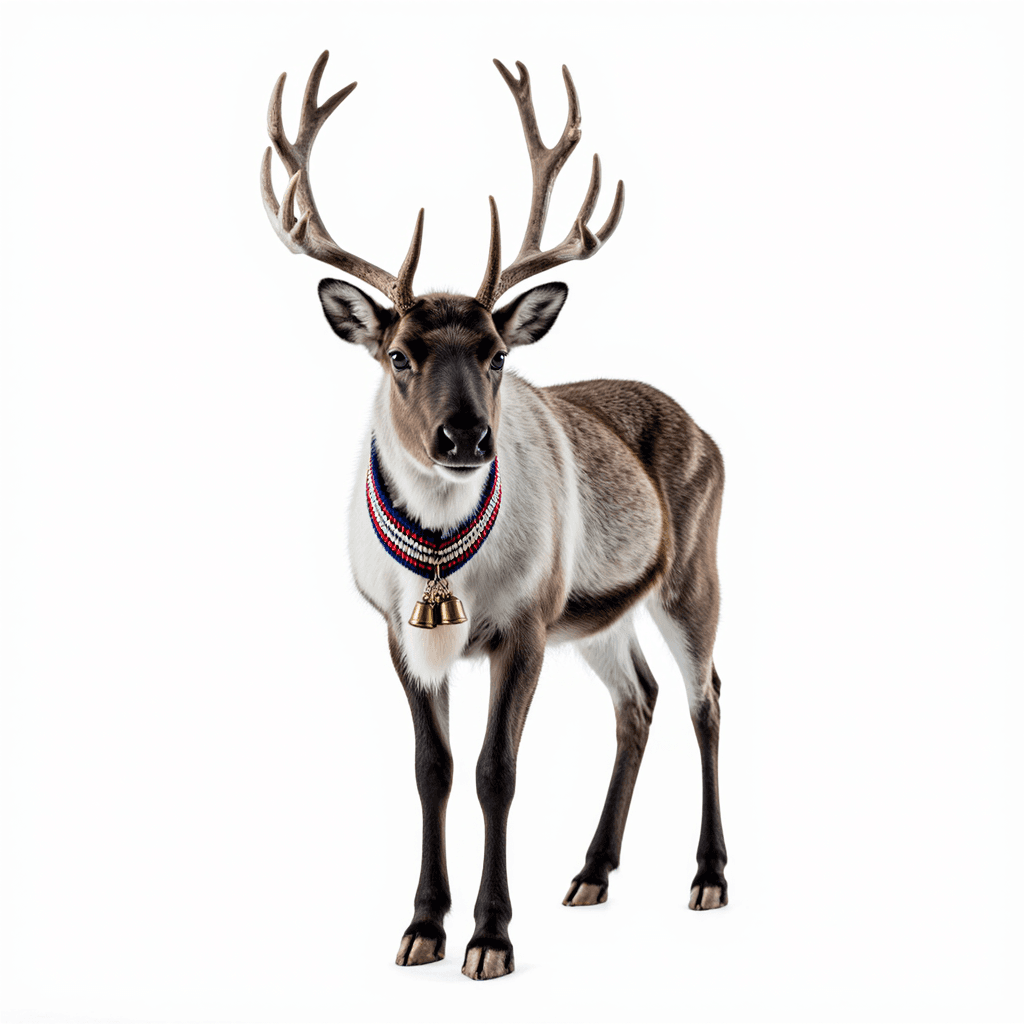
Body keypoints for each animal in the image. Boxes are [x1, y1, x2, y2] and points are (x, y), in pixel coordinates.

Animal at [261, 51, 729, 981]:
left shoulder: (526, 621)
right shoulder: (399, 630)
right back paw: (592, 872)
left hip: (692, 574)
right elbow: (432, 769)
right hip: (598, 616)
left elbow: (495, 771)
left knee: (707, 698)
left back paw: (707, 876)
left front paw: (490, 936)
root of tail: (709, 433)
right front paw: (422, 926)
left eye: (499, 354)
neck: (447, 569)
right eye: (399, 355)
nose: (465, 436)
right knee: (640, 698)